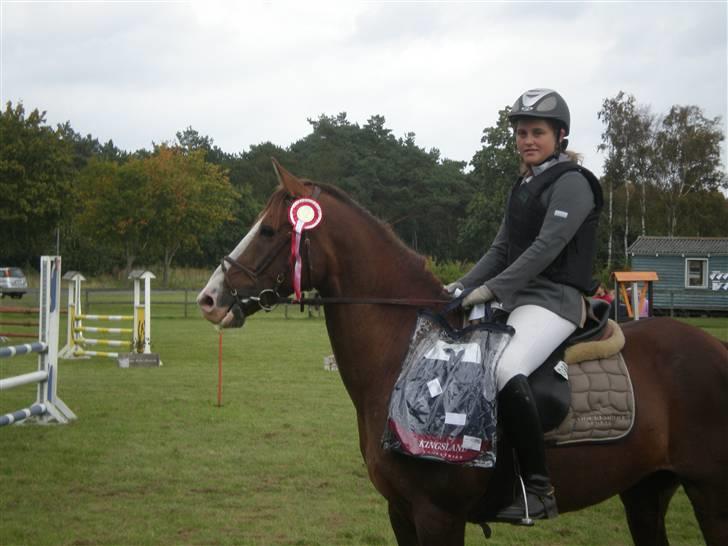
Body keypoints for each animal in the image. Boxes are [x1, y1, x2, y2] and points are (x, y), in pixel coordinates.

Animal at [199, 162, 728, 544]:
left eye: (269, 231)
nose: (209, 298)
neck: (403, 351)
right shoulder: (401, 513)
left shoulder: (438, 517)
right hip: (644, 491)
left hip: (709, 492)